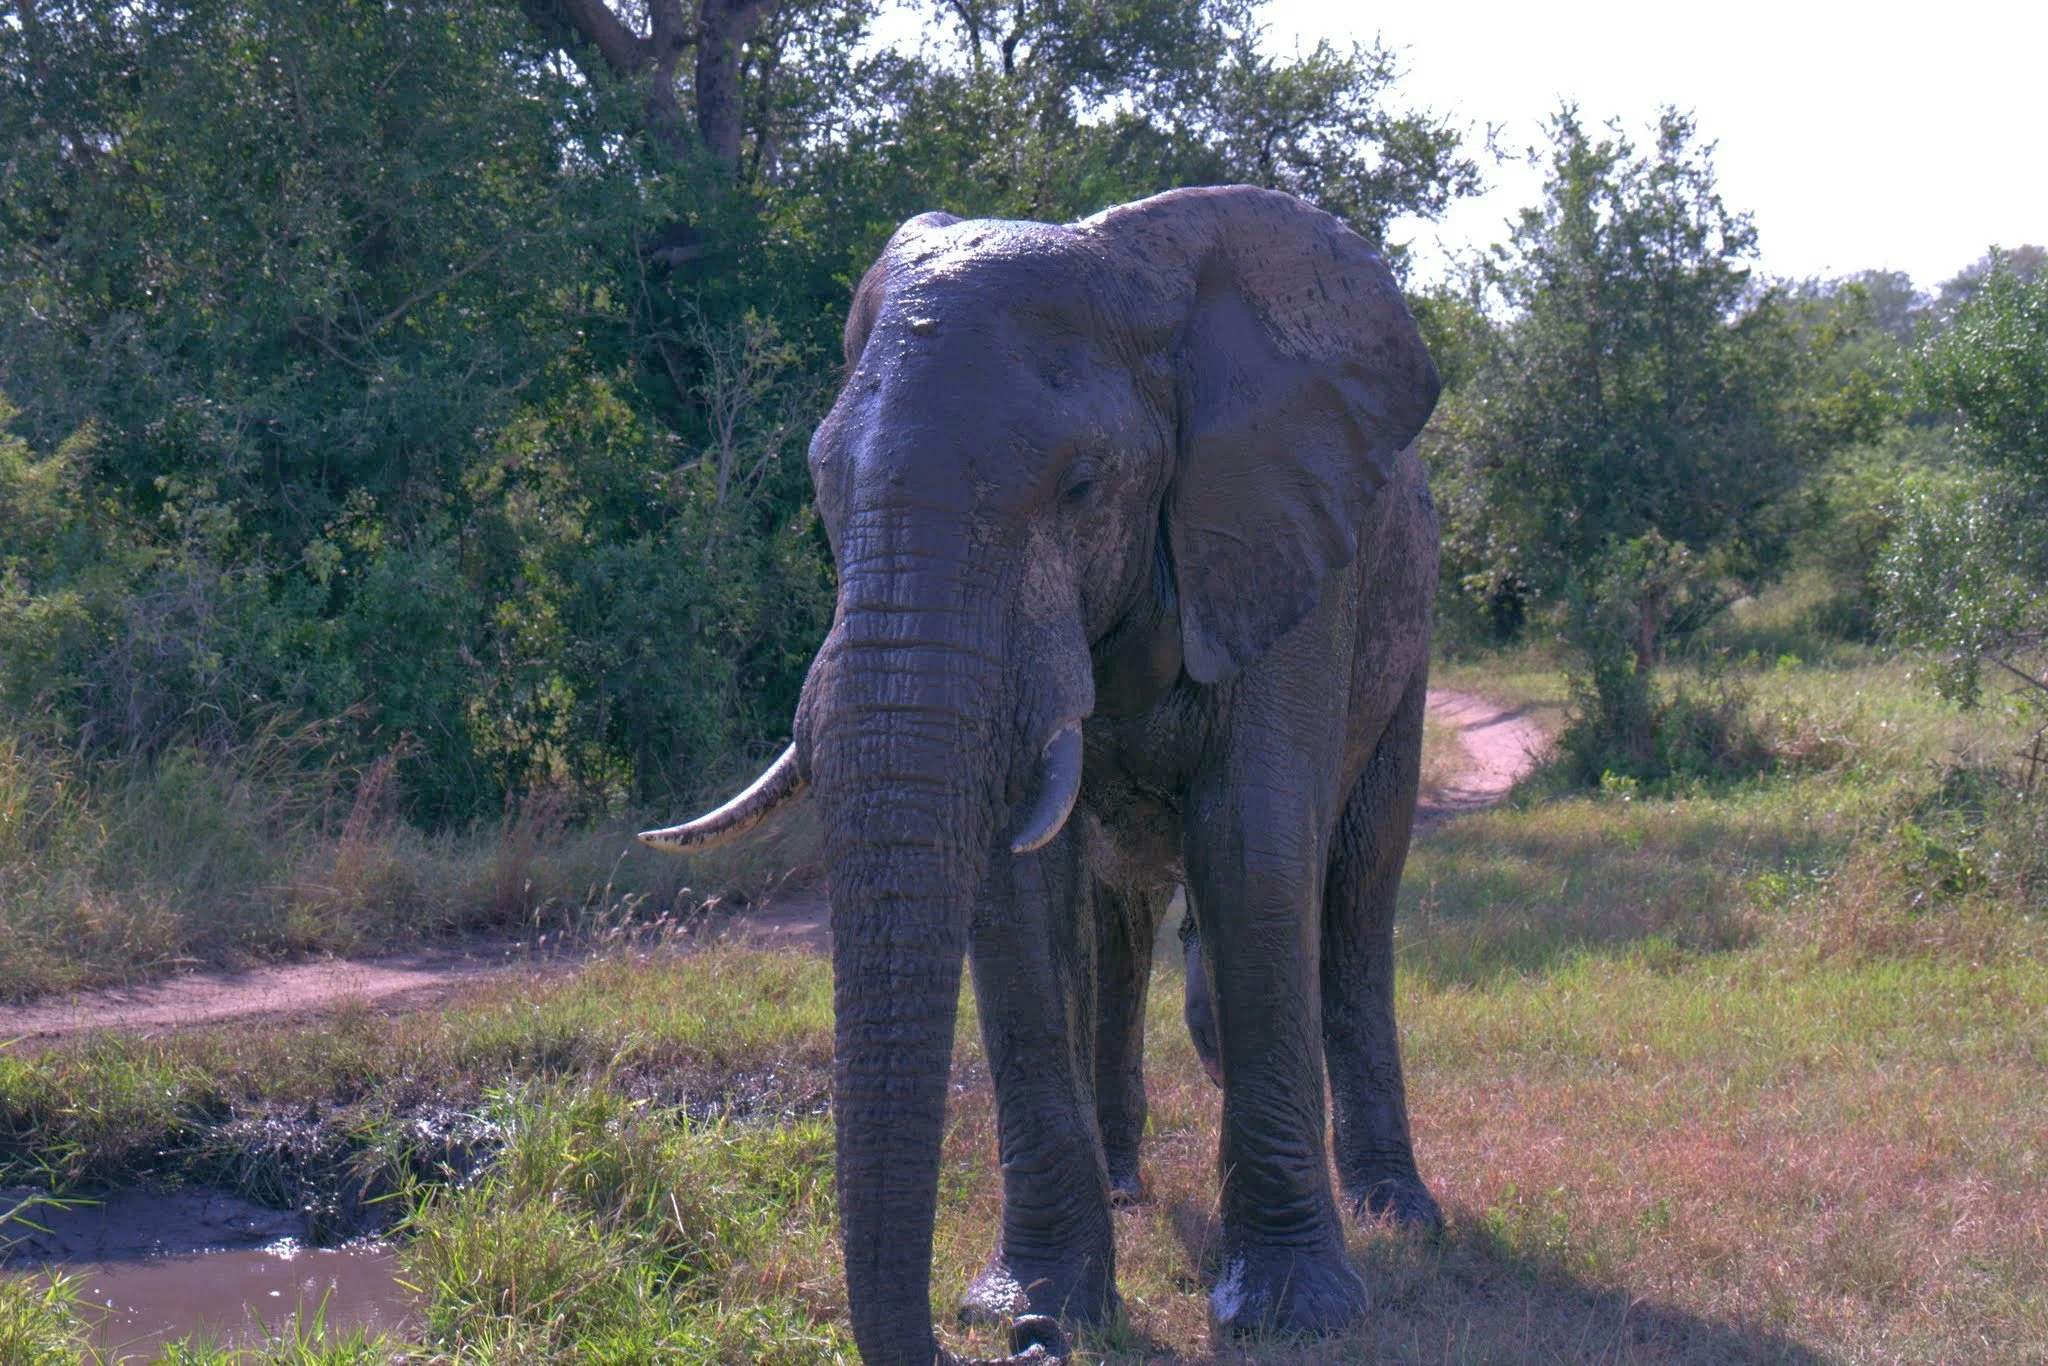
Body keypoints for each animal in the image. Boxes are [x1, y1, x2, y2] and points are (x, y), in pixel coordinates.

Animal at [642, 184, 1444, 1364]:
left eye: (1081, 486)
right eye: (822, 487)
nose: (1022, 1345)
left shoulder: (1279, 538)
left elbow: (1254, 847)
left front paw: (1295, 1316)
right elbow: (1014, 892)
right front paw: (1039, 1299)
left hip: (1407, 631)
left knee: (1353, 891)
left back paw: (1400, 1215)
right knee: (1114, 922)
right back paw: (1123, 1184)